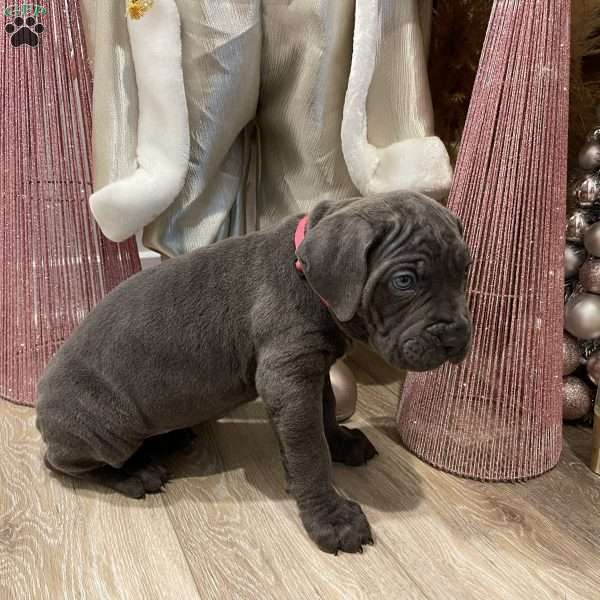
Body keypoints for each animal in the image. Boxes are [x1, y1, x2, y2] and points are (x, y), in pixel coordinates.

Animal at [36, 192, 474, 552]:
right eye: (404, 282)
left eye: (465, 270)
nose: (456, 336)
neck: (307, 278)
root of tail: (41, 408)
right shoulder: (288, 378)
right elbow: (309, 451)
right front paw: (331, 519)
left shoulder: (312, 369)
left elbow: (326, 414)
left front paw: (342, 443)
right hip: (107, 424)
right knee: (68, 462)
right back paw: (134, 472)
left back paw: (170, 438)